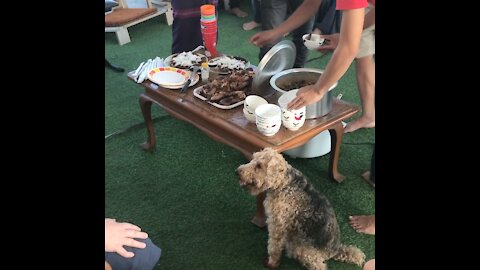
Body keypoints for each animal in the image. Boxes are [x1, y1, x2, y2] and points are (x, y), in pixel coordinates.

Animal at [235, 149, 364, 268]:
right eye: (252, 159)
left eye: (259, 165)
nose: (237, 172)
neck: (283, 184)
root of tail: (335, 249)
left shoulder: (277, 225)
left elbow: (273, 247)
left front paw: (271, 263)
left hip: (304, 252)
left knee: (320, 265)